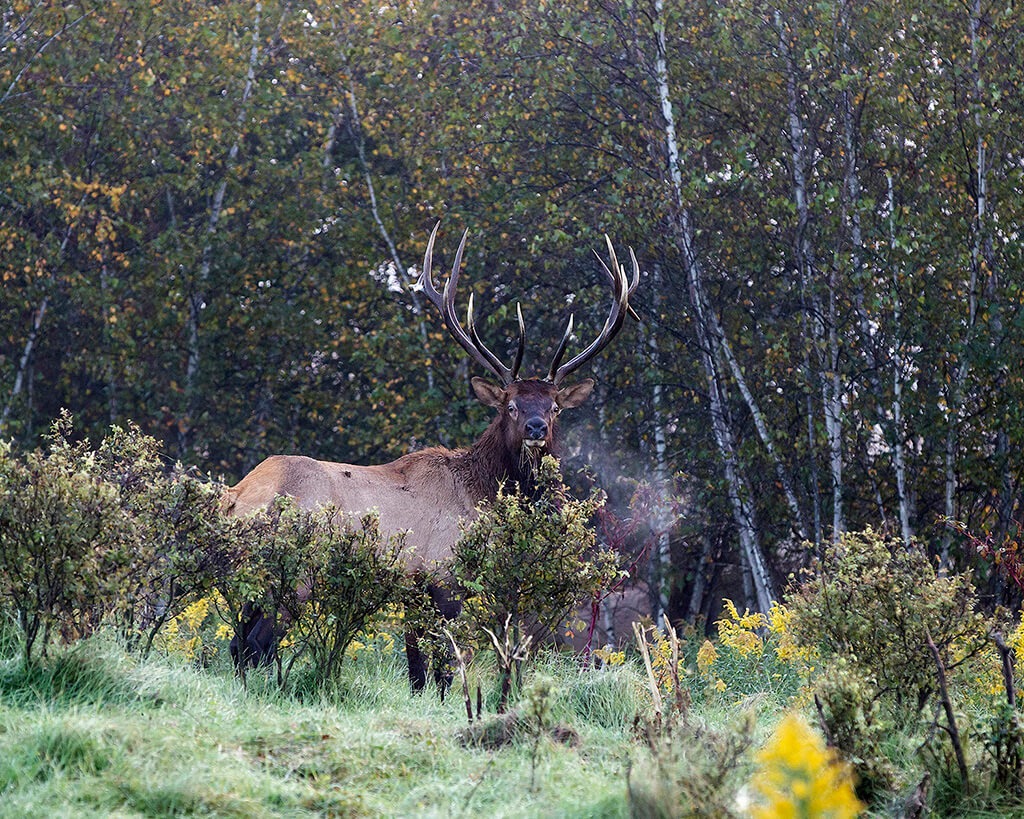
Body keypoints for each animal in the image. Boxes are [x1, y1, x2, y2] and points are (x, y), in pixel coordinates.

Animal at [222, 223, 639, 690]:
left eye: (554, 407)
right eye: (510, 405)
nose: (535, 428)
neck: (481, 498)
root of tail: (237, 497)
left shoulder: (413, 587)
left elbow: (416, 668)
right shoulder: (445, 577)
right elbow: (442, 665)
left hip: (252, 578)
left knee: (238, 642)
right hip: (293, 573)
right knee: (255, 644)